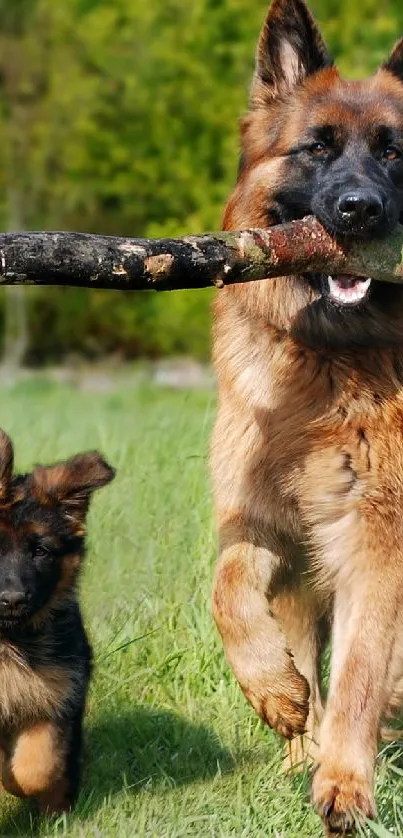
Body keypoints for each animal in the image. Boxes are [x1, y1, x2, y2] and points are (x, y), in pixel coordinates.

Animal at [0, 434, 114, 812]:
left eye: (41, 551)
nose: (13, 599)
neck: (10, 638)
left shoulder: (57, 695)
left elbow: (37, 767)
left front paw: (19, 784)